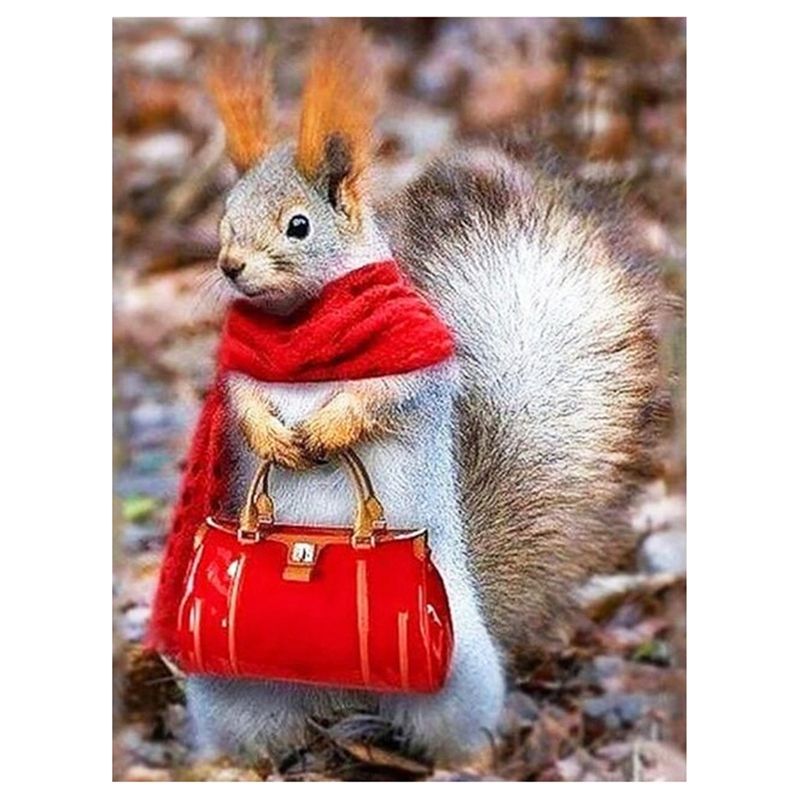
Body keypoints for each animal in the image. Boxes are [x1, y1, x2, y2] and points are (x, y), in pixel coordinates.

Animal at [160, 22, 668, 766]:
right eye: (224, 216)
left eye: (299, 225)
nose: (230, 266)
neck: (301, 328)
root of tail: (340, 698)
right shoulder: (240, 372)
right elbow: (246, 399)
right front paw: (271, 433)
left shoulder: (419, 367)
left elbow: (389, 396)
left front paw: (332, 426)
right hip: (232, 687)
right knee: (258, 737)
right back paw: (228, 767)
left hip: (452, 675)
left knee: (457, 730)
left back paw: (466, 762)